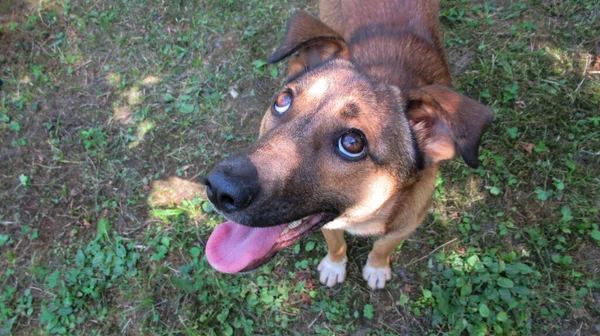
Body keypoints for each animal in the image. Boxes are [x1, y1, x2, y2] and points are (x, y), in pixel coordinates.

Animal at [203, 0, 492, 288]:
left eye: (352, 143)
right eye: (282, 101)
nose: (218, 188)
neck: (366, 217)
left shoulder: (405, 226)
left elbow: (383, 247)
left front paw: (377, 267)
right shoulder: (329, 224)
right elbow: (336, 244)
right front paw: (335, 265)